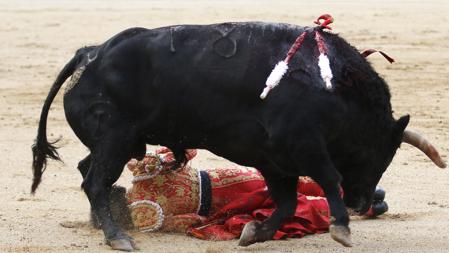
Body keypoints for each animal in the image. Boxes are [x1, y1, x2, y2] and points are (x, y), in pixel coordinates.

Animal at [31, 21, 444, 251]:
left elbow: (287, 203)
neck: (335, 90)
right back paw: (118, 236)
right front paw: (341, 228)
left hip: (122, 143)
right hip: (116, 140)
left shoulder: (276, 160)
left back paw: (107, 223)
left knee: (88, 172)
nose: (361, 203)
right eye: (376, 153)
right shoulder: (302, 145)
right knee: (95, 181)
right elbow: (328, 177)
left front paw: (254, 233)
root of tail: (91, 54)